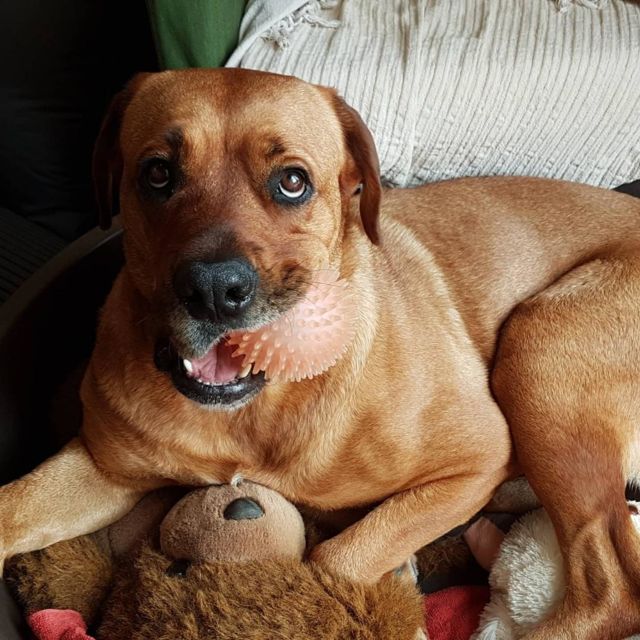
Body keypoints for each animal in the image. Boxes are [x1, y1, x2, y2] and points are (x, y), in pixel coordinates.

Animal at [2, 68, 640, 639]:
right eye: (157, 173)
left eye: (292, 182)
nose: (213, 290)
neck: (252, 412)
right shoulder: (101, 468)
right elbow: (13, 509)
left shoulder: (479, 455)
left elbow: (331, 560)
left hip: (538, 354)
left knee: (611, 590)